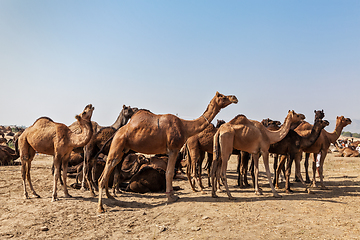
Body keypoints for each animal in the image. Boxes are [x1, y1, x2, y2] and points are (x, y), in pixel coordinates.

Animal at [97, 92, 239, 212]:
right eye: (222, 96)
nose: (234, 98)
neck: (185, 126)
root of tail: (117, 132)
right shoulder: (173, 149)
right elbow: (170, 172)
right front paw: (171, 197)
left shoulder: (172, 151)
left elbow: (169, 172)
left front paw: (173, 194)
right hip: (117, 145)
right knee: (104, 174)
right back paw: (101, 207)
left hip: (122, 150)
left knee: (109, 170)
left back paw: (111, 197)